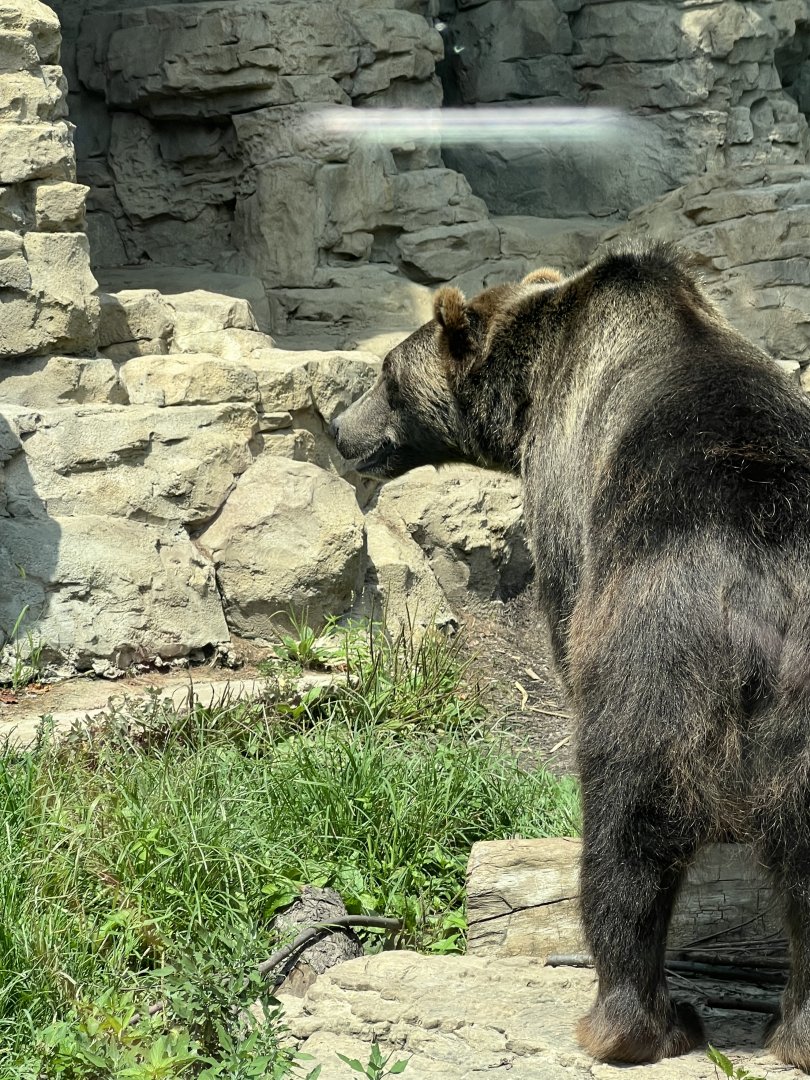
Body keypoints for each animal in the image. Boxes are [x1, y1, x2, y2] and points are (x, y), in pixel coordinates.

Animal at [332, 241, 810, 1071]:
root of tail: (761, 581)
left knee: (628, 838)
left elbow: (557, 609)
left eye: (386, 379)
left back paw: (634, 1022)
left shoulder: (565, 492)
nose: (337, 428)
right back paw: (799, 1030)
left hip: (651, 661)